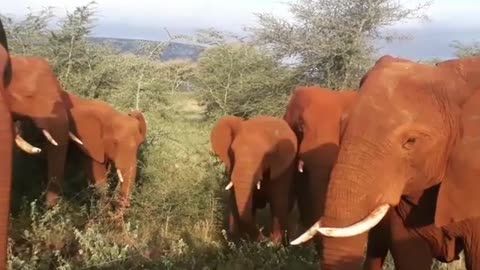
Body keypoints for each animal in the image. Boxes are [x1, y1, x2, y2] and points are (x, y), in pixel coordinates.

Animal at [210, 115, 296, 245]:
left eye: (267, 155)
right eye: (232, 152)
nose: (265, 237)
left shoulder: (283, 170)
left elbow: (279, 203)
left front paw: (274, 245)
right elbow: (234, 201)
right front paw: (235, 243)